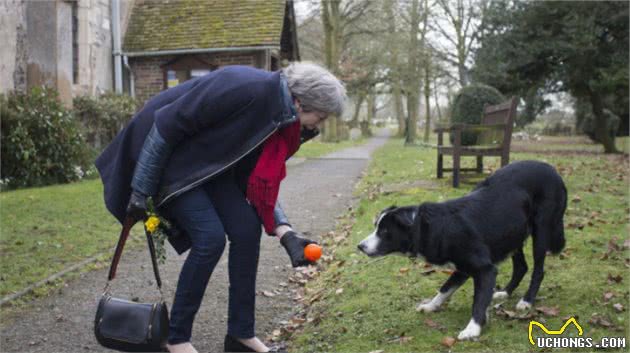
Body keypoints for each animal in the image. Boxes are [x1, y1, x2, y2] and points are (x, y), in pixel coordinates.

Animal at [358, 161, 572, 340]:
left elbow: (478, 300)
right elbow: (445, 288)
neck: (429, 226)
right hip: (512, 234)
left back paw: (526, 301)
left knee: (538, 270)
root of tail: (554, 171)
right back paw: (505, 292)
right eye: (376, 227)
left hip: (541, 229)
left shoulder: (484, 269)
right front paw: (431, 306)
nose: (360, 246)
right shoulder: (462, 267)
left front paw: (473, 328)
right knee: (521, 267)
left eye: (384, 231)